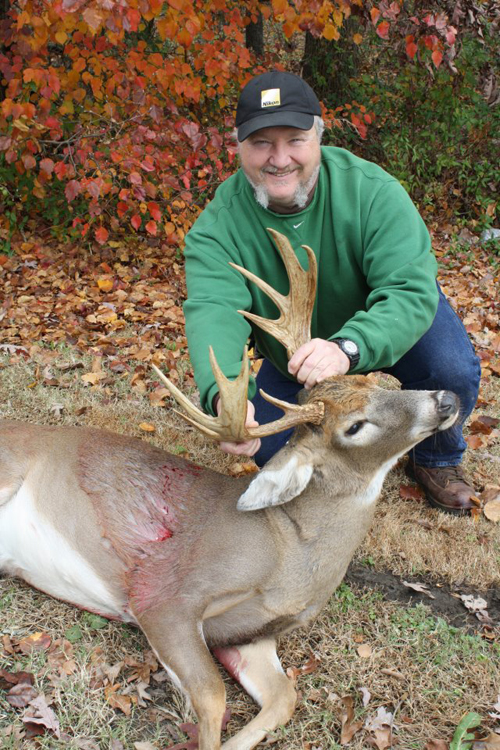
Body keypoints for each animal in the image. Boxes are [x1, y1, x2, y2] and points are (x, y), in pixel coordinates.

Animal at [0, 229, 459, 750]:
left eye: (377, 382)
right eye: (355, 426)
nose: (446, 399)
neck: (289, 555)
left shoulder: (250, 637)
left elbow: (284, 699)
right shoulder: (165, 595)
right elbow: (213, 697)